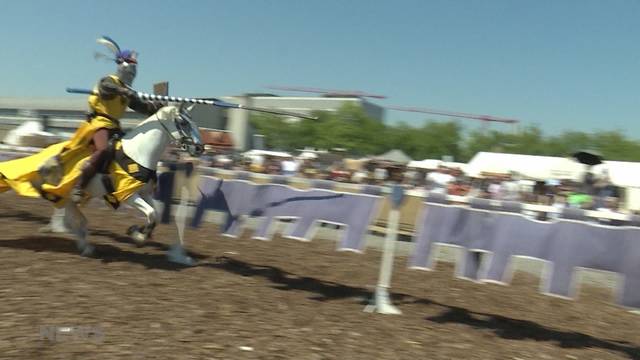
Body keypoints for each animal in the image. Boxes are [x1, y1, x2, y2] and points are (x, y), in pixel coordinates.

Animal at [40, 104, 204, 264]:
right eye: (183, 123)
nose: (199, 148)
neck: (139, 154)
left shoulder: (145, 193)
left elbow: (155, 215)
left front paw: (137, 233)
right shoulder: (128, 195)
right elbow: (151, 213)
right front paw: (139, 236)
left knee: (75, 219)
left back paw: (84, 246)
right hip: (66, 195)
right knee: (74, 219)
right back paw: (83, 245)